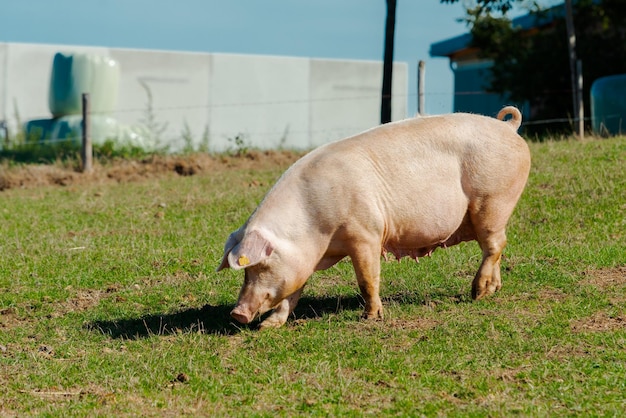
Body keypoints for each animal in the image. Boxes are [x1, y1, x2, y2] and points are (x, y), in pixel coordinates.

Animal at [217, 107, 528, 330]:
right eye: (245, 270)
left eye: (260, 265)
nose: (237, 313)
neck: (314, 231)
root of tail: (508, 127)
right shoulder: (305, 260)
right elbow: (292, 293)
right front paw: (268, 327)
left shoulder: (366, 233)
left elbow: (367, 278)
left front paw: (371, 317)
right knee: (495, 247)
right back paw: (491, 291)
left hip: (493, 200)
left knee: (495, 245)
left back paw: (477, 293)